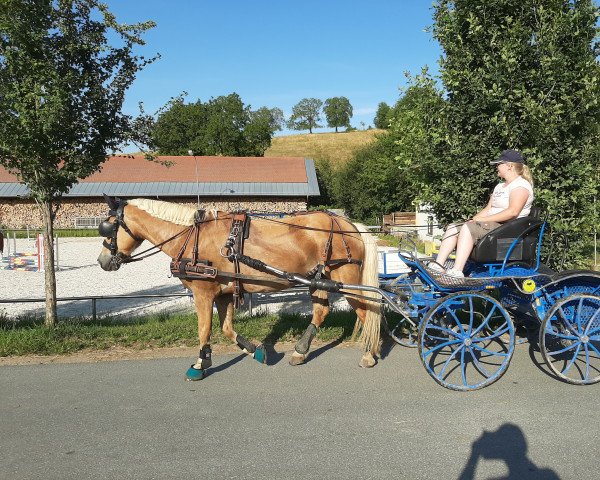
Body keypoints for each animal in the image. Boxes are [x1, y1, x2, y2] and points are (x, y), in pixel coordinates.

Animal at [97, 197, 380, 380]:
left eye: (108, 226)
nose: (102, 261)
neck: (193, 236)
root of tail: (350, 226)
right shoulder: (223, 294)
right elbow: (226, 329)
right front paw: (255, 351)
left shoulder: (203, 292)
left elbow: (204, 330)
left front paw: (199, 364)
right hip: (318, 279)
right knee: (321, 312)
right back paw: (300, 352)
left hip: (345, 278)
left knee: (367, 312)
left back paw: (369, 354)